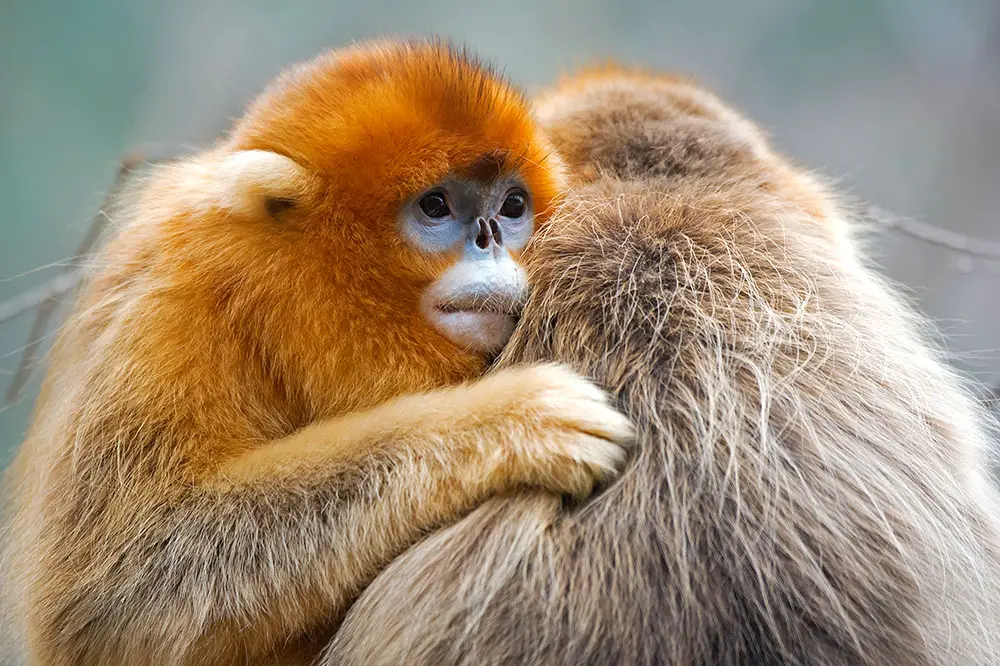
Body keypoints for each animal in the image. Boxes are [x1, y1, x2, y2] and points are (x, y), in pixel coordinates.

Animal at [0, 42, 632, 664]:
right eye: (435, 206)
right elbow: (123, 592)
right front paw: (510, 418)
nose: (491, 236)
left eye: (512, 205)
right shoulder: (167, 310)